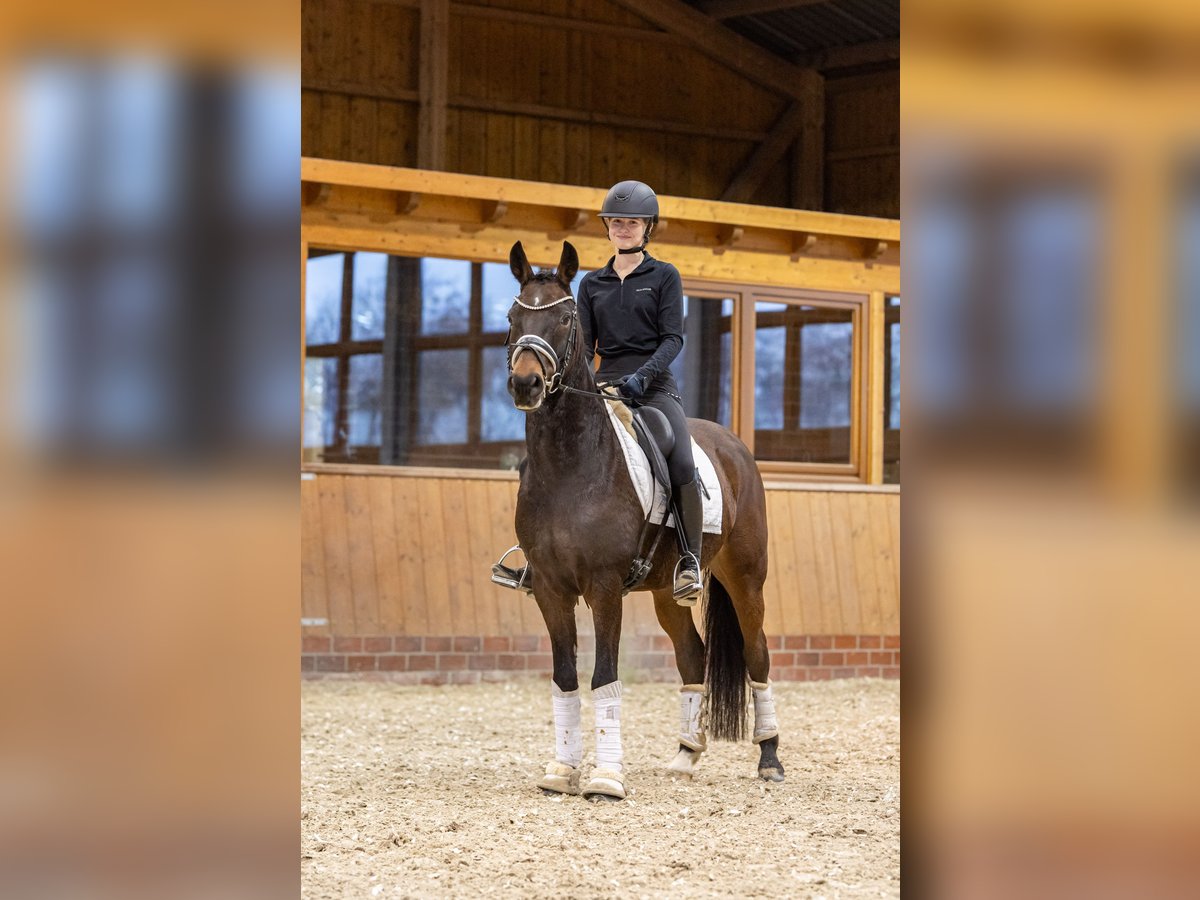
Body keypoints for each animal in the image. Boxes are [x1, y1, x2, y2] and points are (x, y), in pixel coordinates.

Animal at [501, 240, 782, 801]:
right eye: (512, 317)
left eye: (564, 318)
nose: (526, 384)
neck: (571, 466)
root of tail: (733, 444)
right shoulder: (550, 589)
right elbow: (565, 679)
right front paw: (562, 770)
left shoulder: (604, 587)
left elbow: (604, 676)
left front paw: (606, 779)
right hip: (665, 591)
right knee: (692, 655)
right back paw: (685, 756)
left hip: (745, 577)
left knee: (758, 653)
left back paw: (769, 758)